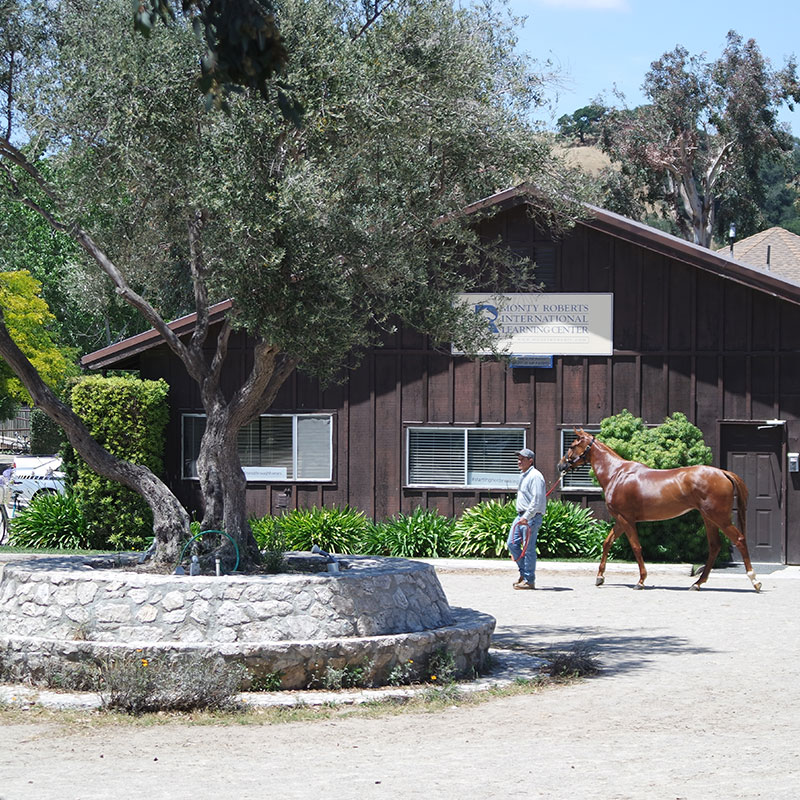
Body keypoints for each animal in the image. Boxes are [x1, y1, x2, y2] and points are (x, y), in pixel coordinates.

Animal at [560, 428, 760, 592]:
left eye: (572, 445)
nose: (560, 465)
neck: (617, 474)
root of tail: (723, 473)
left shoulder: (626, 519)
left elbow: (636, 547)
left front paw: (640, 581)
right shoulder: (621, 520)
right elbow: (607, 542)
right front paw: (600, 577)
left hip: (719, 518)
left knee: (739, 540)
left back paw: (754, 580)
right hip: (709, 518)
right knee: (715, 546)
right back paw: (697, 583)